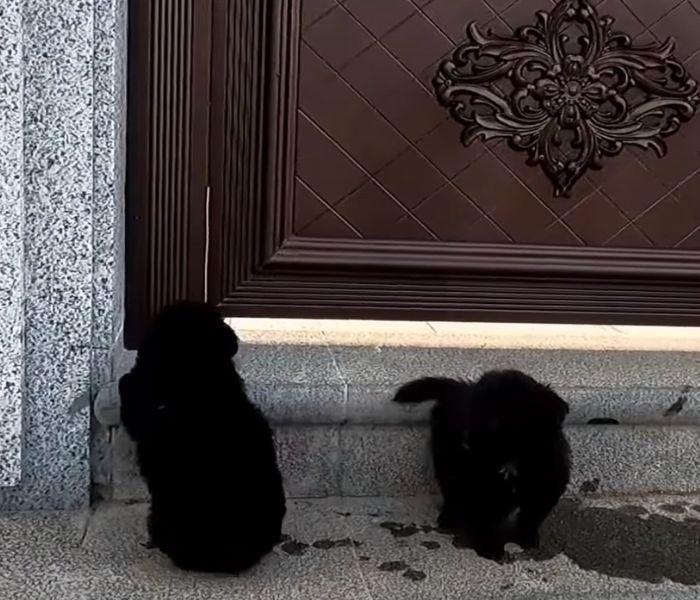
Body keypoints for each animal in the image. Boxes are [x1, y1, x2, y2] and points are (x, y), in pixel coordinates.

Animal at [393, 369, 570, 561]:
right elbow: (482, 518)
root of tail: (459, 388)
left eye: (495, 417)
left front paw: (526, 538)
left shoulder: (546, 484)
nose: (465, 439)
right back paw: (449, 518)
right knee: (451, 490)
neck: (511, 456)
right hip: (445, 456)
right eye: (472, 411)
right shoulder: (480, 485)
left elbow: (531, 516)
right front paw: (489, 547)